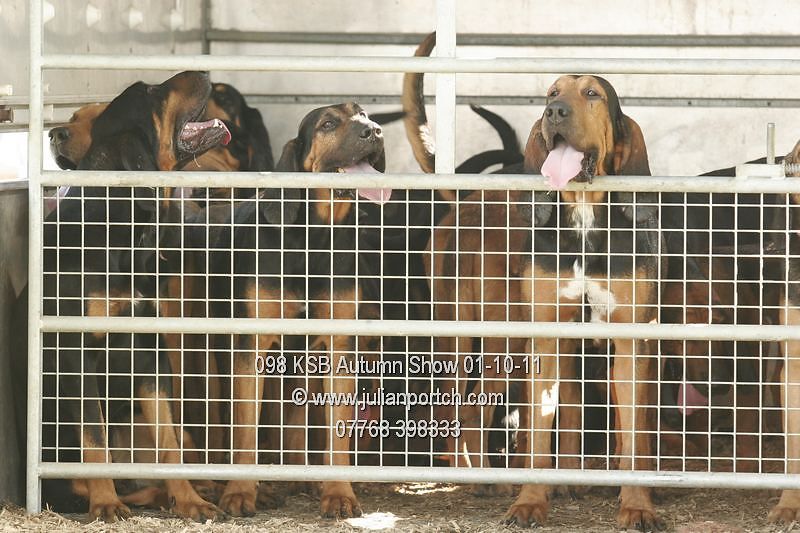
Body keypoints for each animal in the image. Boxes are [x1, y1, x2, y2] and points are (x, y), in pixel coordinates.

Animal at [29, 70, 229, 522]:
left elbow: (168, 443)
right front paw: (106, 503)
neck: (123, 233)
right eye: (151, 92)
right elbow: (95, 440)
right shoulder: (76, 355)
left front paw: (190, 501)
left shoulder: (149, 351)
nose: (205, 72)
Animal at [210, 102, 387, 518]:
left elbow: (337, 437)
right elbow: (245, 432)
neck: (313, 238)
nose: (375, 131)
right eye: (328, 124)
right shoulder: (252, 348)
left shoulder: (339, 349)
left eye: (364, 113)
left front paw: (339, 493)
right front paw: (239, 493)